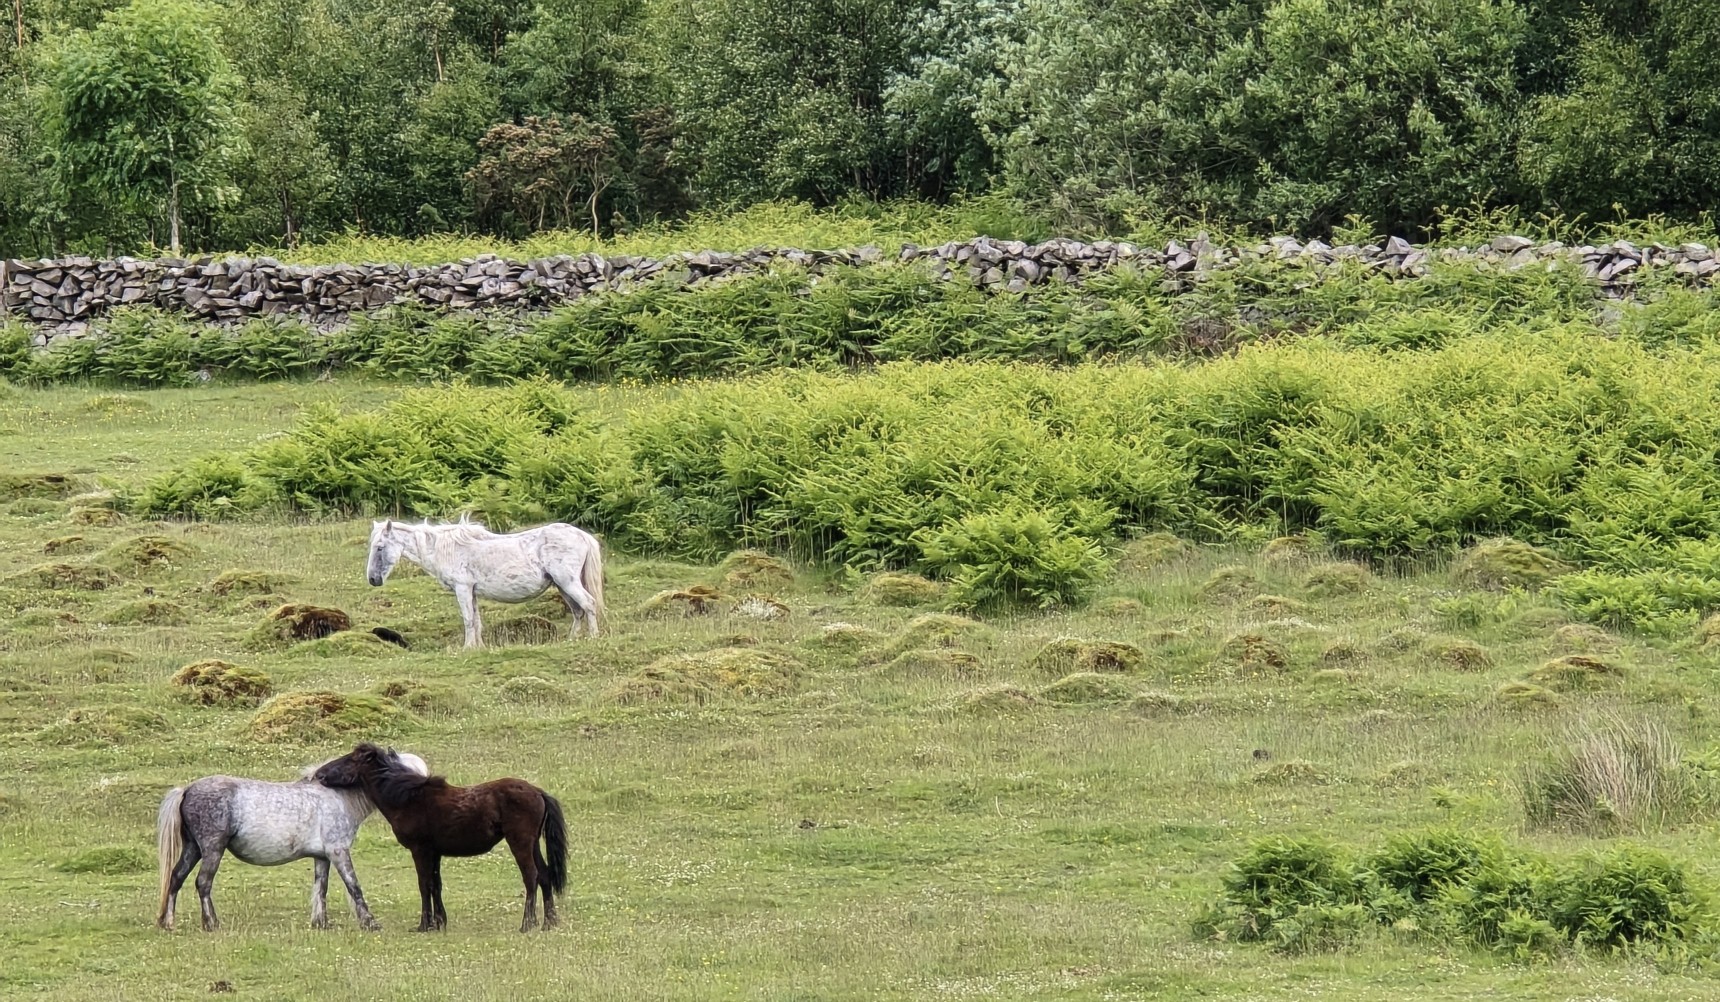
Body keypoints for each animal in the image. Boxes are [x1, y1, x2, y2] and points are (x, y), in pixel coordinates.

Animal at [155, 751, 429, 932]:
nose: (320, 774)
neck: (338, 798)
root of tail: (187, 789)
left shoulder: (322, 857)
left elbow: (321, 889)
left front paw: (320, 923)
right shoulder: (338, 851)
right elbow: (354, 886)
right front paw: (370, 922)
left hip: (193, 848)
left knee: (176, 878)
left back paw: (168, 923)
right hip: (212, 849)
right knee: (203, 883)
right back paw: (212, 924)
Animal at [313, 743, 568, 933]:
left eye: (350, 759)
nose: (319, 774)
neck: (409, 799)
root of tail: (537, 792)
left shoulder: (420, 850)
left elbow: (424, 884)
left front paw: (424, 925)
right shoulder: (434, 852)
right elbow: (436, 884)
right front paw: (439, 922)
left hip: (520, 843)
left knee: (531, 876)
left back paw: (527, 924)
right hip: (533, 844)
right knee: (545, 875)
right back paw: (549, 923)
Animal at [365, 518, 604, 648]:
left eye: (379, 547)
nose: (373, 579)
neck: (447, 549)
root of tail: (582, 535)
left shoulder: (462, 589)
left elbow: (468, 620)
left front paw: (467, 648)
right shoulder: (472, 591)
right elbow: (477, 620)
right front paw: (479, 646)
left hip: (567, 582)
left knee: (589, 604)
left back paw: (593, 638)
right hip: (562, 586)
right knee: (578, 611)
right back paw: (572, 640)